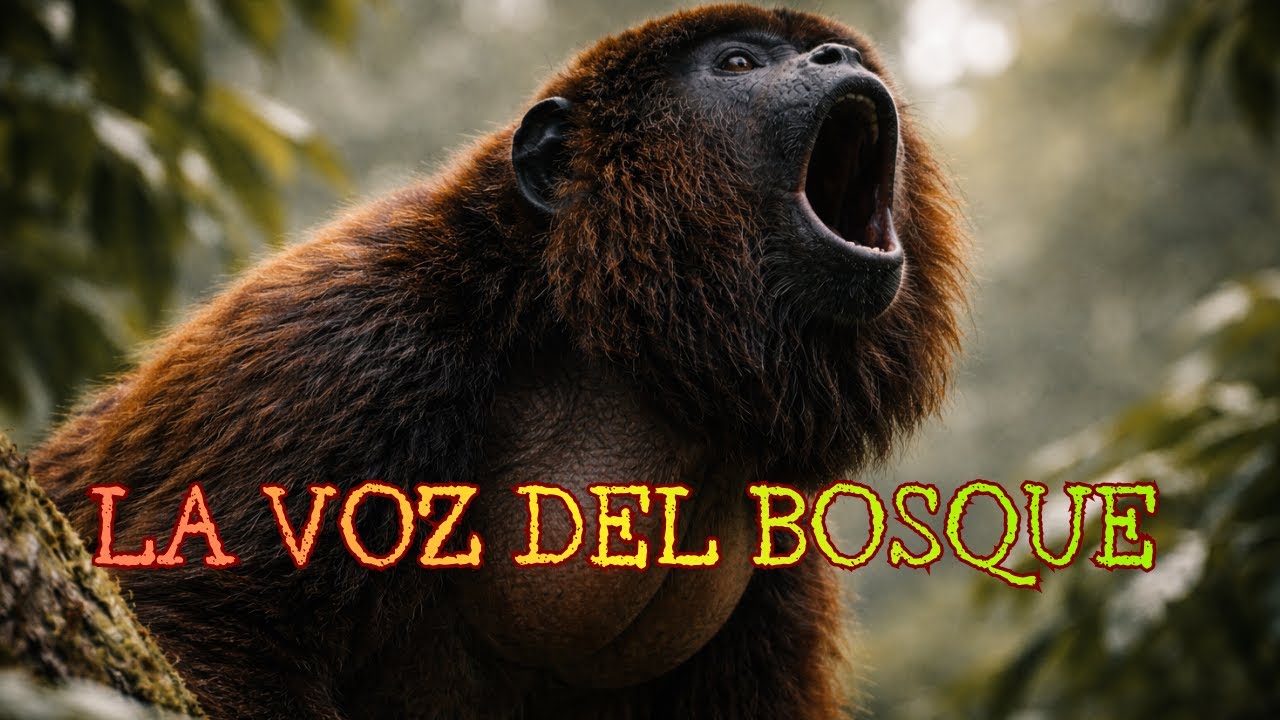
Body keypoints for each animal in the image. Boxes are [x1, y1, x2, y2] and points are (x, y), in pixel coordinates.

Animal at [31, 5, 966, 719]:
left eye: (832, 51)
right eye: (738, 63)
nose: (838, 55)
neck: (584, 327)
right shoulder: (340, 348)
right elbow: (203, 624)